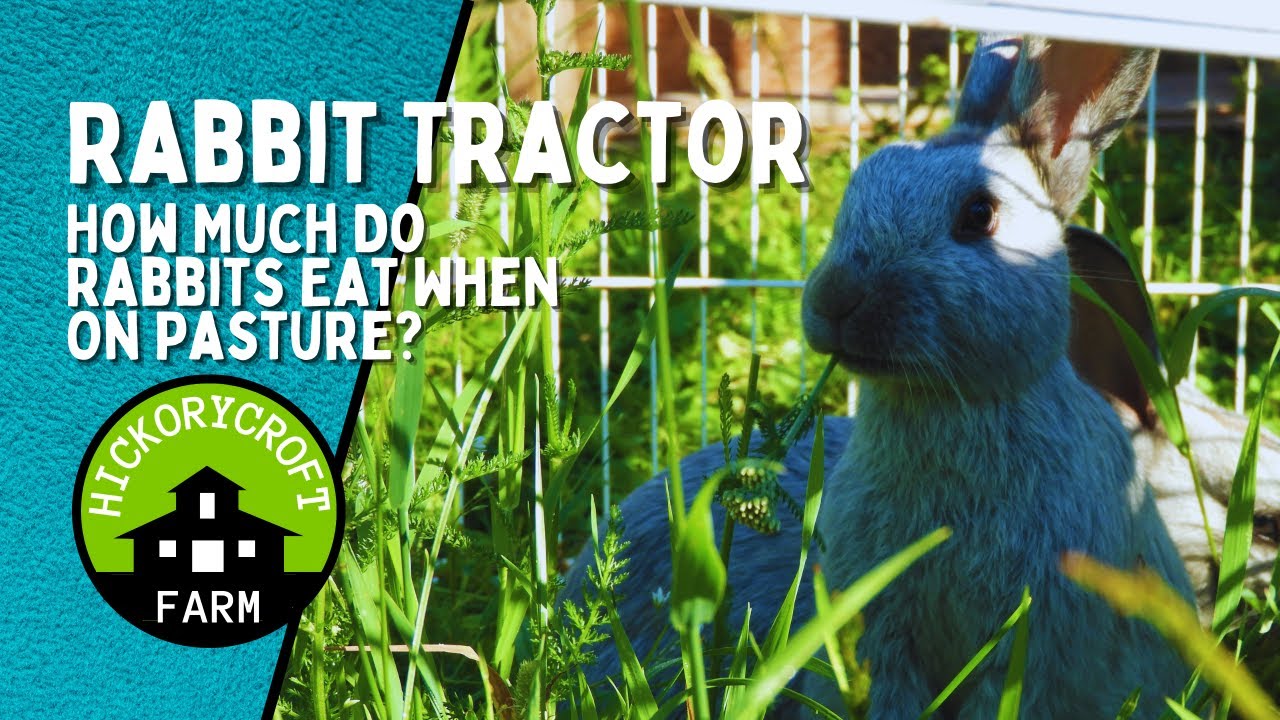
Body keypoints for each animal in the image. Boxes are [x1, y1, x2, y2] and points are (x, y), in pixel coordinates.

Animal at [561, 35, 1280, 718]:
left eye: (979, 214)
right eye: (858, 190)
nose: (838, 299)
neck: (946, 405)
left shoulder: (1033, 635)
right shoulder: (883, 632)